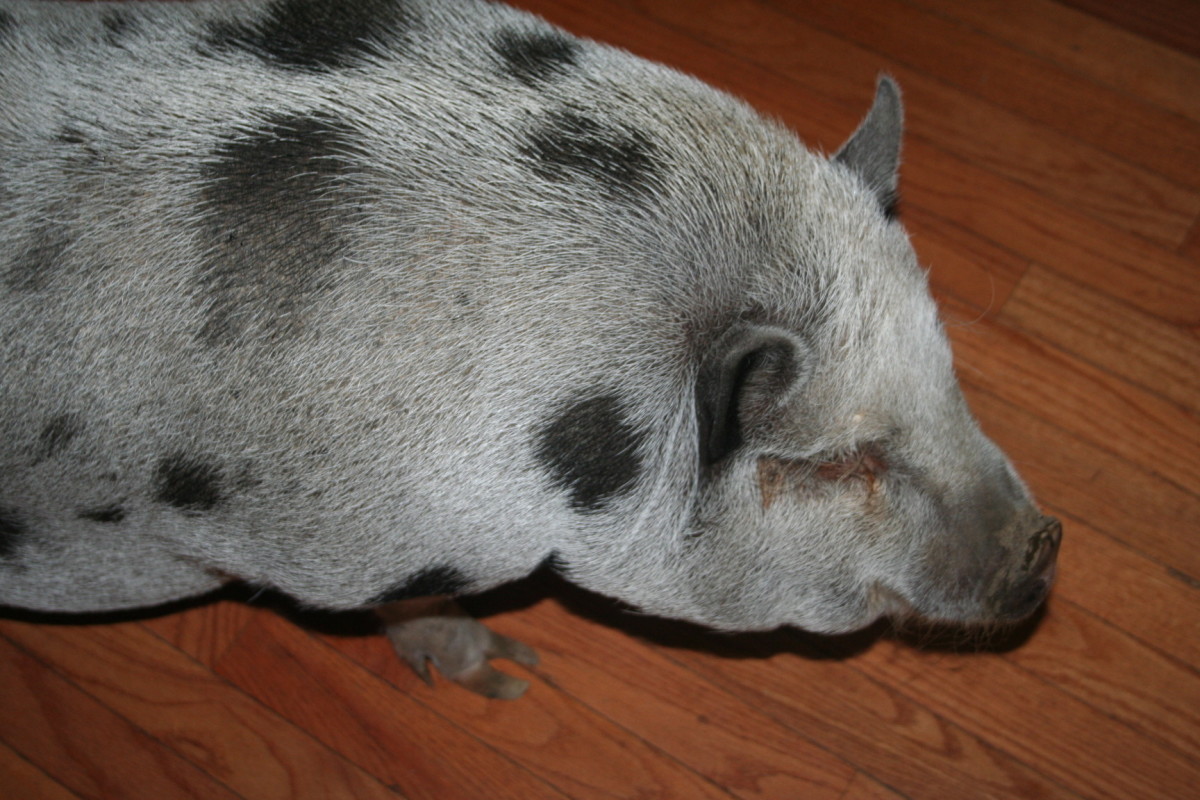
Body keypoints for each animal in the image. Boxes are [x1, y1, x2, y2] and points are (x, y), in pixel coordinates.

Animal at [0, 0, 1060, 699]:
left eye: (951, 372)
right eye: (840, 462)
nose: (1047, 541)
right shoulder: (344, 547)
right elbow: (405, 609)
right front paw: (511, 678)